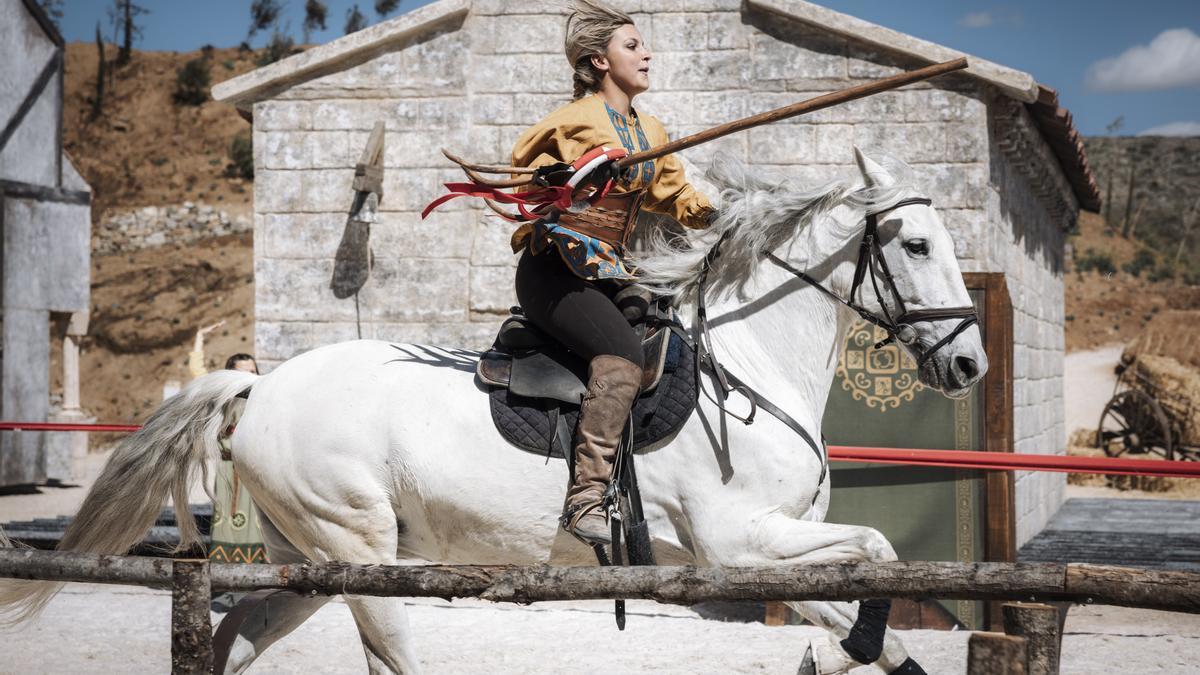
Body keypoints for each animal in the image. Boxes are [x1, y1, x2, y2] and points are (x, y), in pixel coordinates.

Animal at [0, 148, 984, 672]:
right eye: (917, 244)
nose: (971, 361)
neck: (746, 365)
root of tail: (263, 384)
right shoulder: (737, 546)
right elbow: (881, 549)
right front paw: (853, 644)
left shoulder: (767, 554)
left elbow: (861, 593)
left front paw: (859, 648)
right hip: (361, 552)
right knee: (385, 656)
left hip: (309, 563)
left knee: (235, 638)